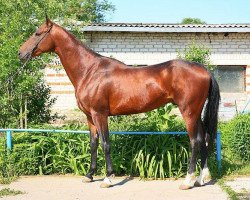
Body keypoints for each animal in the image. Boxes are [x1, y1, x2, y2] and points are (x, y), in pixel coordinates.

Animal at [18, 16, 220, 189]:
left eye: (37, 33)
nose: (20, 53)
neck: (89, 71)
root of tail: (204, 70)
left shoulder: (100, 115)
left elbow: (106, 143)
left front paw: (108, 178)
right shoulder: (90, 117)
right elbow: (93, 144)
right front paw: (89, 175)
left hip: (188, 112)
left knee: (194, 141)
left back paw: (188, 181)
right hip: (196, 114)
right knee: (204, 138)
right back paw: (201, 178)